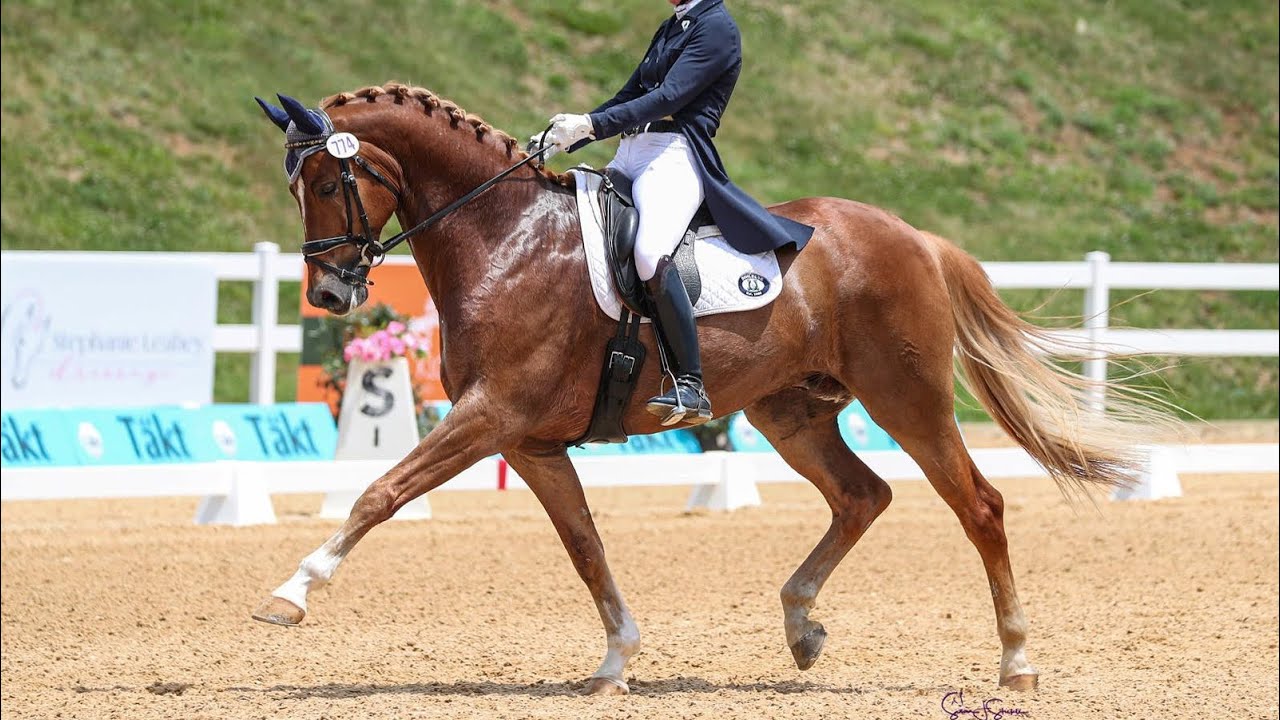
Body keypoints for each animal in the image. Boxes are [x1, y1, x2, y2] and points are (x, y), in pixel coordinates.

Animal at [251, 82, 1162, 695]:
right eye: (294, 188)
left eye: (327, 183)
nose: (329, 295)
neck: (503, 237)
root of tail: (912, 234)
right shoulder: (530, 442)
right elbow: (586, 547)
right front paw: (616, 661)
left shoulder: (490, 416)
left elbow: (380, 492)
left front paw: (289, 596)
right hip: (789, 411)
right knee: (862, 496)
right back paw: (801, 626)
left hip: (906, 397)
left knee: (979, 506)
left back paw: (1016, 663)